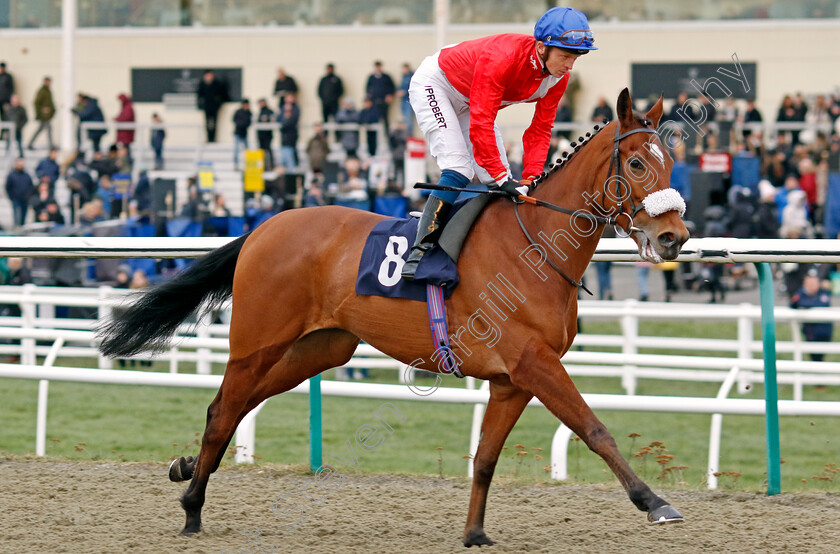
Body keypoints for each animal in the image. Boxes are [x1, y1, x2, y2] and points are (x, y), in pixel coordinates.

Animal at [98, 88, 688, 544]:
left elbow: (486, 458)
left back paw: (186, 468)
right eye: (637, 163)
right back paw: (192, 507)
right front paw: (655, 502)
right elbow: (595, 429)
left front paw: (474, 532)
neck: (536, 246)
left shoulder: (511, 380)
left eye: (671, 161)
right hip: (257, 340)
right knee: (224, 409)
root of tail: (263, 226)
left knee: (236, 406)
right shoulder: (534, 363)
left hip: (318, 347)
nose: (674, 237)